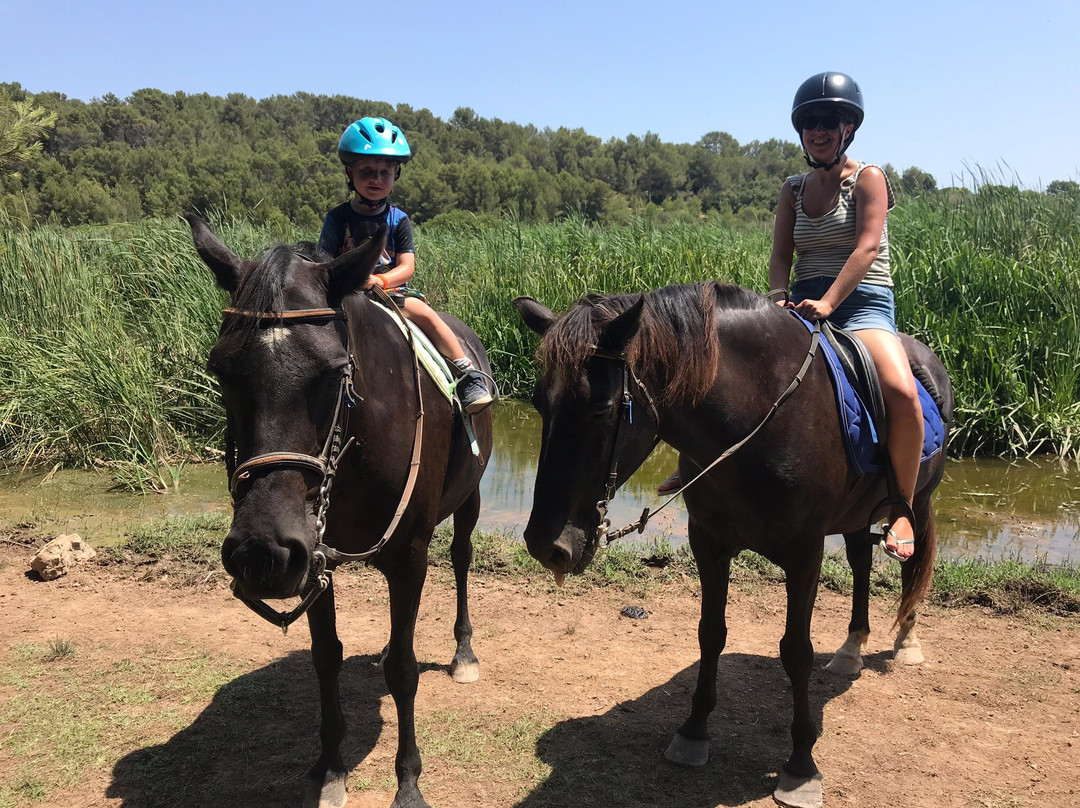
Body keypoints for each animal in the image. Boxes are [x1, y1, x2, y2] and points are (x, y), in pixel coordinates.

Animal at [187, 214, 493, 808]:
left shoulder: (409, 555)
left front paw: (408, 782)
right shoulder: (314, 555)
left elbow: (403, 669)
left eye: (332, 373)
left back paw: (464, 653)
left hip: (468, 499)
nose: (261, 551)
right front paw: (330, 768)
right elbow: (326, 657)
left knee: (463, 558)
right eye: (222, 372)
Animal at [513, 281, 952, 808]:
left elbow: (795, 650)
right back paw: (851, 648)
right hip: (855, 516)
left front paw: (800, 765)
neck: (757, 419)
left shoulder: (804, 555)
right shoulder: (709, 542)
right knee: (861, 561)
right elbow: (711, 633)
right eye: (540, 404)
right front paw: (693, 731)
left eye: (599, 408)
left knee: (911, 562)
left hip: (918, 502)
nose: (545, 544)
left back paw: (906, 639)